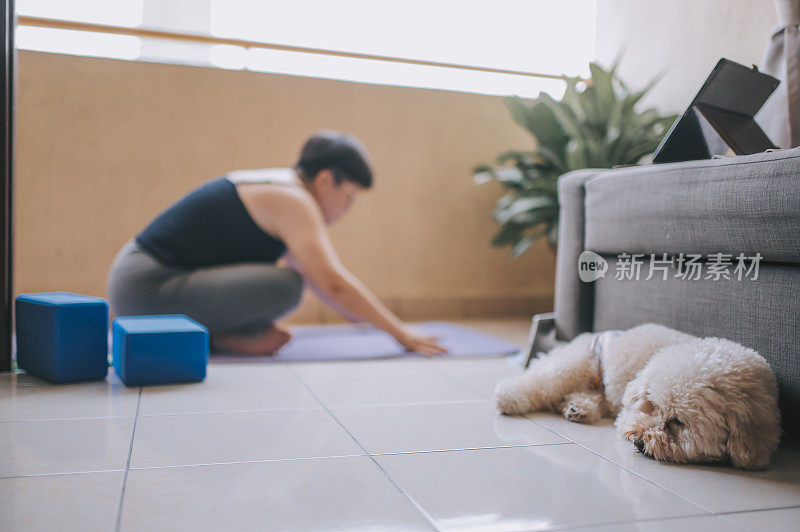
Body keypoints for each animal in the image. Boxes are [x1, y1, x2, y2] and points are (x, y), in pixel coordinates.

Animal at [496, 324, 780, 470]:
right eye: (652, 406)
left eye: (678, 422)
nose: (640, 443)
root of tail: (585, 335)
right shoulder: (627, 414)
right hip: (575, 364)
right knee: (539, 381)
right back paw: (509, 397)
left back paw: (578, 407)